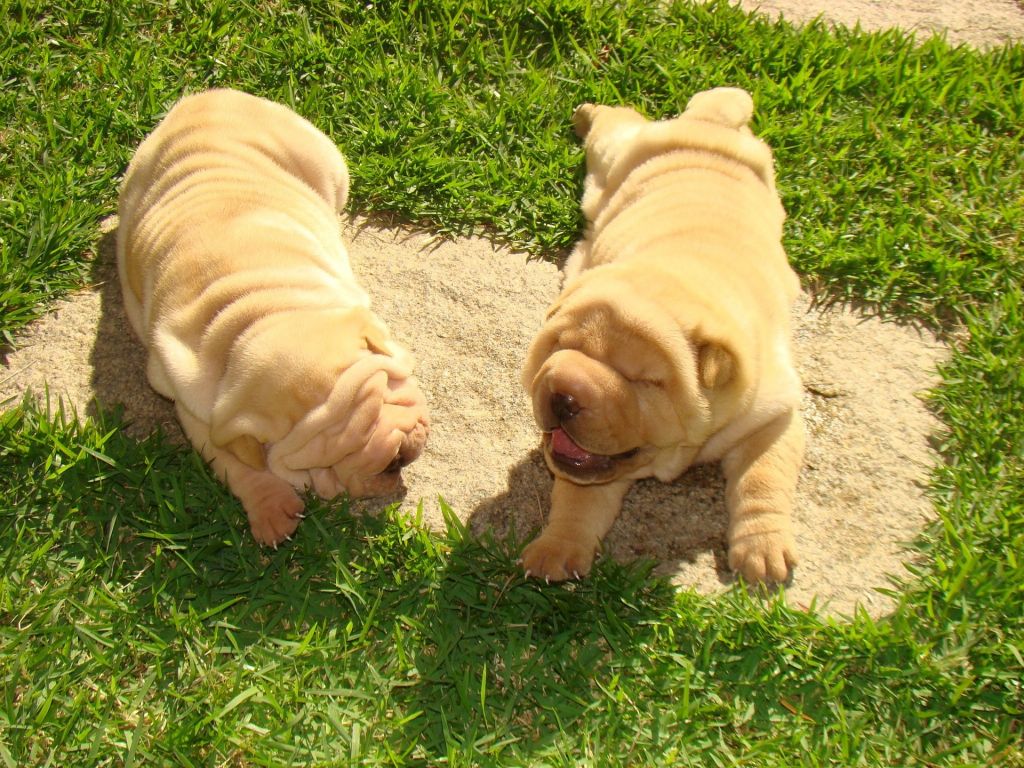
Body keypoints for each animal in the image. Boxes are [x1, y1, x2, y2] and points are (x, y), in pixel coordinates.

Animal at [117, 88, 430, 548]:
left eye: (385, 392)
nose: (394, 460)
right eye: (319, 465)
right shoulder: (197, 408)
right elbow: (233, 463)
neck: (253, 316)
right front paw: (270, 508)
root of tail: (207, 96)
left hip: (321, 157)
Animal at [524, 87, 802, 585]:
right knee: (615, 123)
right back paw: (588, 111)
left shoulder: (776, 415)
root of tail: (709, 126)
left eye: (645, 381)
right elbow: (578, 499)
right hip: (614, 154)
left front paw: (764, 551)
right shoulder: (592, 465)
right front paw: (556, 549)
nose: (563, 395)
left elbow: (763, 477)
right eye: (561, 347)